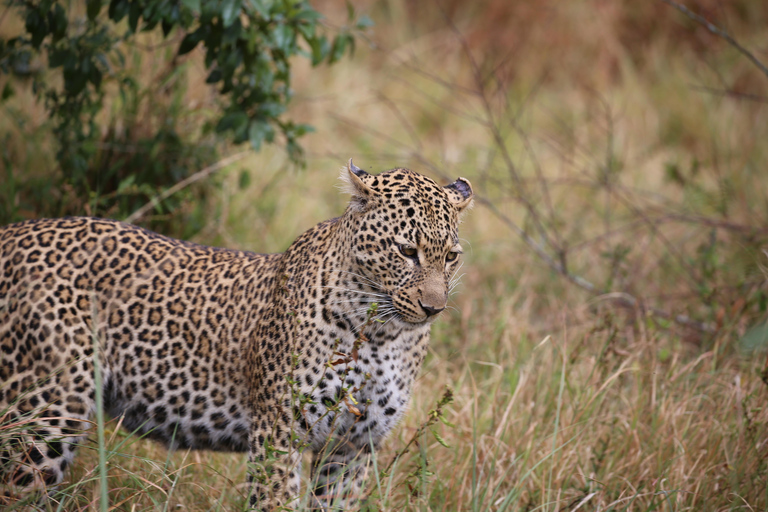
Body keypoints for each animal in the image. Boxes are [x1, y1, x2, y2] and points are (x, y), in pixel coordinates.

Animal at [0, 159, 472, 508]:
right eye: (406, 251)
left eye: (451, 256)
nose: (434, 307)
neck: (381, 335)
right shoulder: (279, 434)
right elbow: (276, 503)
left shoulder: (352, 448)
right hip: (45, 414)